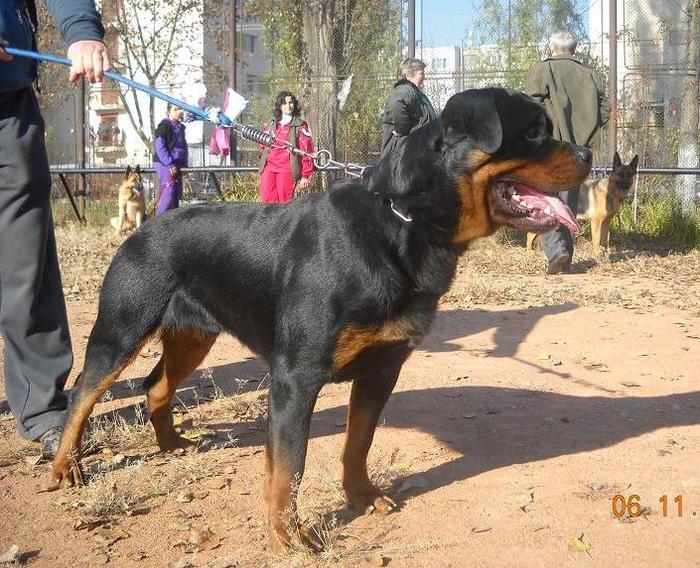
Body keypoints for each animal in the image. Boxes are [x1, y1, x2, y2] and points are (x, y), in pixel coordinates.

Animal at [50, 90, 592, 552]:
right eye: (534, 133)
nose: (588, 154)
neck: (403, 223)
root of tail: (142, 228)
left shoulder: (381, 369)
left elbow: (357, 443)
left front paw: (362, 498)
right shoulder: (296, 378)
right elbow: (289, 468)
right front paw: (288, 537)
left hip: (193, 336)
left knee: (157, 385)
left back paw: (169, 444)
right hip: (122, 329)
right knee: (83, 392)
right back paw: (64, 468)